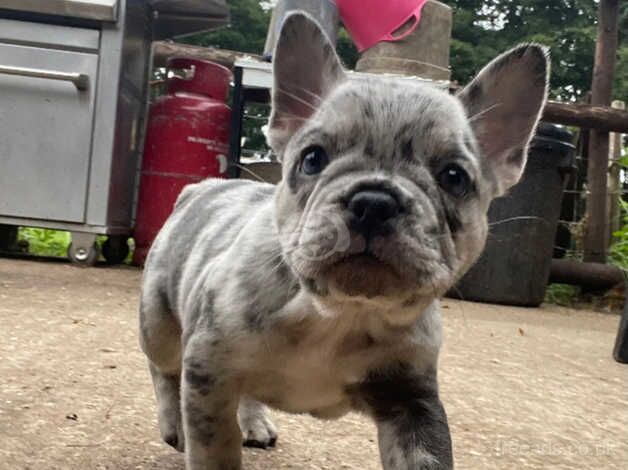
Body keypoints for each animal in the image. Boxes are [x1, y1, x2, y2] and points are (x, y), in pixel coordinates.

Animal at [141, 11, 548, 470]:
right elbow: (215, 452)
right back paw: (173, 423)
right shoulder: (210, 373)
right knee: (164, 370)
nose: (374, 202)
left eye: (454, 177)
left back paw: (255, 423)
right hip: (159, 327)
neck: (341, 314)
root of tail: (203, 188)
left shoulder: (412, 402)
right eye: (312, 159)